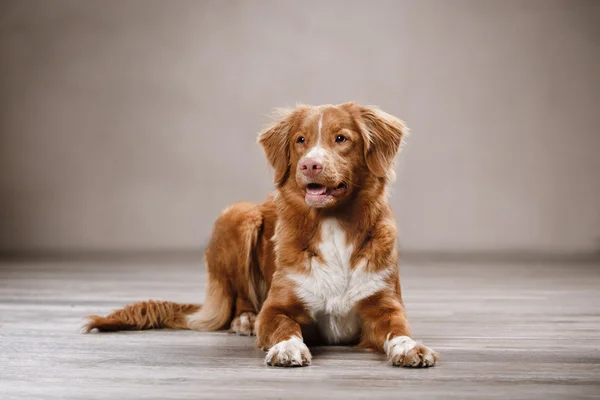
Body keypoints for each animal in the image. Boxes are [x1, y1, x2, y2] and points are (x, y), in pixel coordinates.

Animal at [84, 102, 438, 368]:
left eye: (341, 138)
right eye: (300, 140)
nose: (309, 165)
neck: (333, 224)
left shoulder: (384, 305)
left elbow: (397, 328)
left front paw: (409, 347)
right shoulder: (276, 307)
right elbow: (283, 324)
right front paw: (287, 348)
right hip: (238, 215)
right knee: (240, 298)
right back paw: (243, 320)